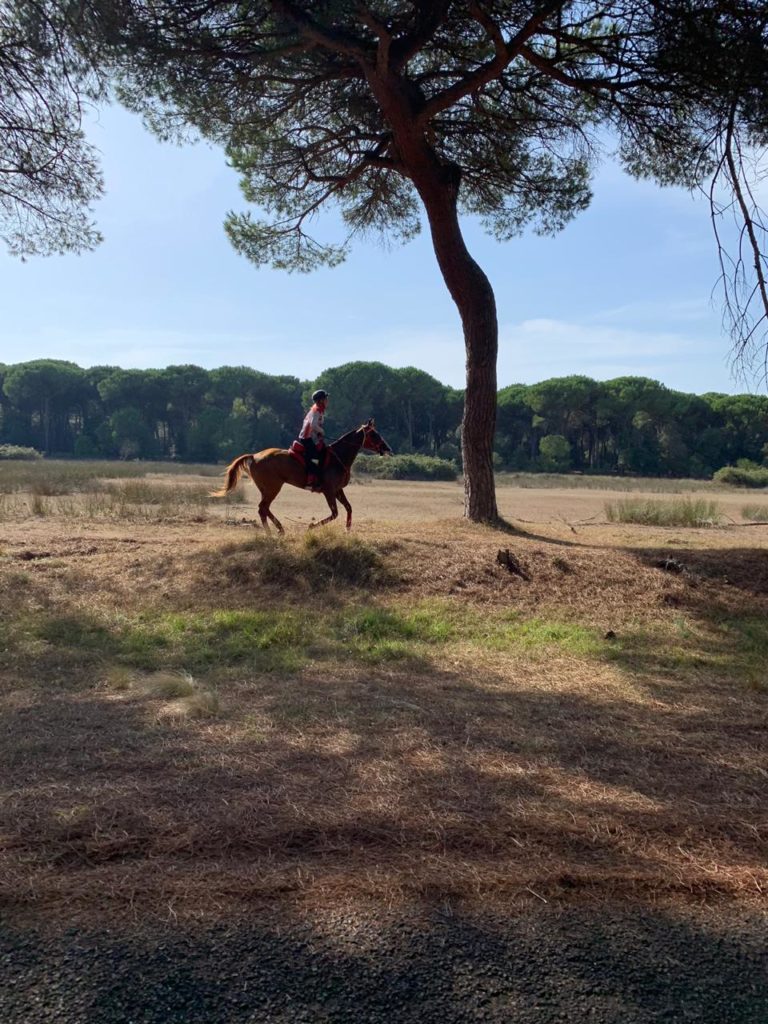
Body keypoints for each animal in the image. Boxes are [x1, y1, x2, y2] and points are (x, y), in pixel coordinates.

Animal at [210, 417, 391, 532]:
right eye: (373, 434)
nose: (387, 448)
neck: (339, 456)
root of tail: (254, 456)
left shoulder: (338, 490)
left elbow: (349, 508)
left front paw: (347, 531)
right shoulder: (329, 491)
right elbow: (334, 513)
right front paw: (311, 527)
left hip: (267, 489)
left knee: (264, 508)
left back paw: (279, 530)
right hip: (273, 488)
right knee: (262, 509)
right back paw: (273, 532)